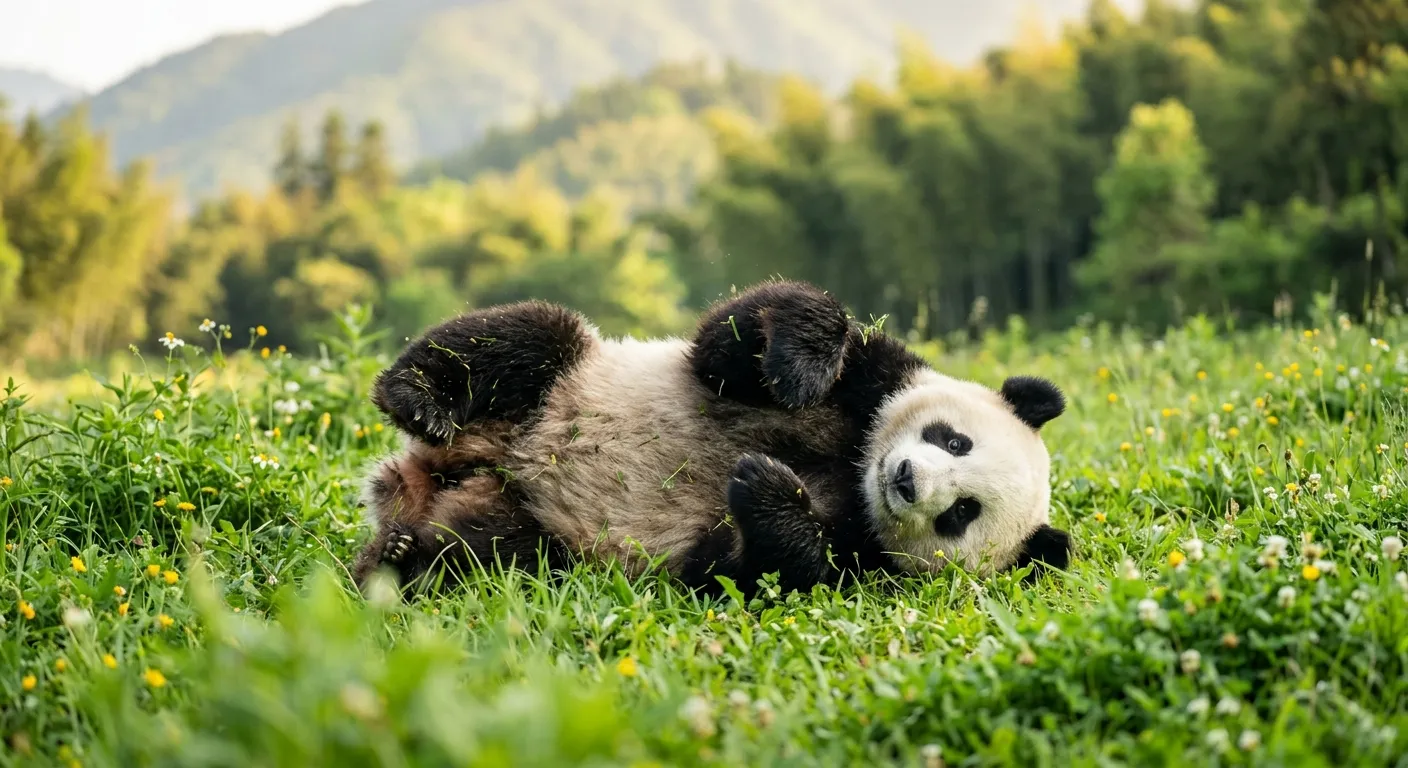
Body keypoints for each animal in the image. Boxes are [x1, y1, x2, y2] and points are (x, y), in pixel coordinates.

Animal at [350, 280, 1072, 597]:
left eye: (961, 514)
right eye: (955, 442)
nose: (905, 480)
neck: (850, 467)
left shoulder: (865, 561)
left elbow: (757, 570)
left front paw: (764, 486)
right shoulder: (873, 381)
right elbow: (734, 341)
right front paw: (798, 369)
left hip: (541, 536)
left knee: (492, 556)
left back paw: (402, 559)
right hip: (560, 384)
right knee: (523, 338)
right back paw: (418, 397)